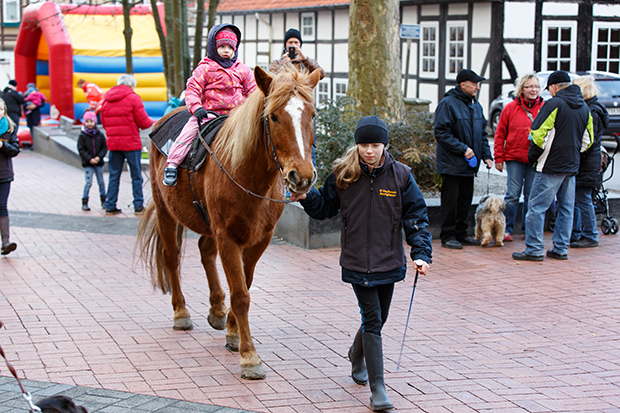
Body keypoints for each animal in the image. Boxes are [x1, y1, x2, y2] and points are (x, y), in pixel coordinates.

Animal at [136, 66, 320, 378]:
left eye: (313, 115)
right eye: (273, 116)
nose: (303, 176)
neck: (248, 175)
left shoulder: (259, 240)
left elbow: (245, 284)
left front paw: (233, 333)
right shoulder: (228, 238)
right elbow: (241, 294)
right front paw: (249, 356)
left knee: (205, 251)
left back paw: (217, 310)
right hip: (165, 212)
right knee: (171, 257)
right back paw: (181, 312)